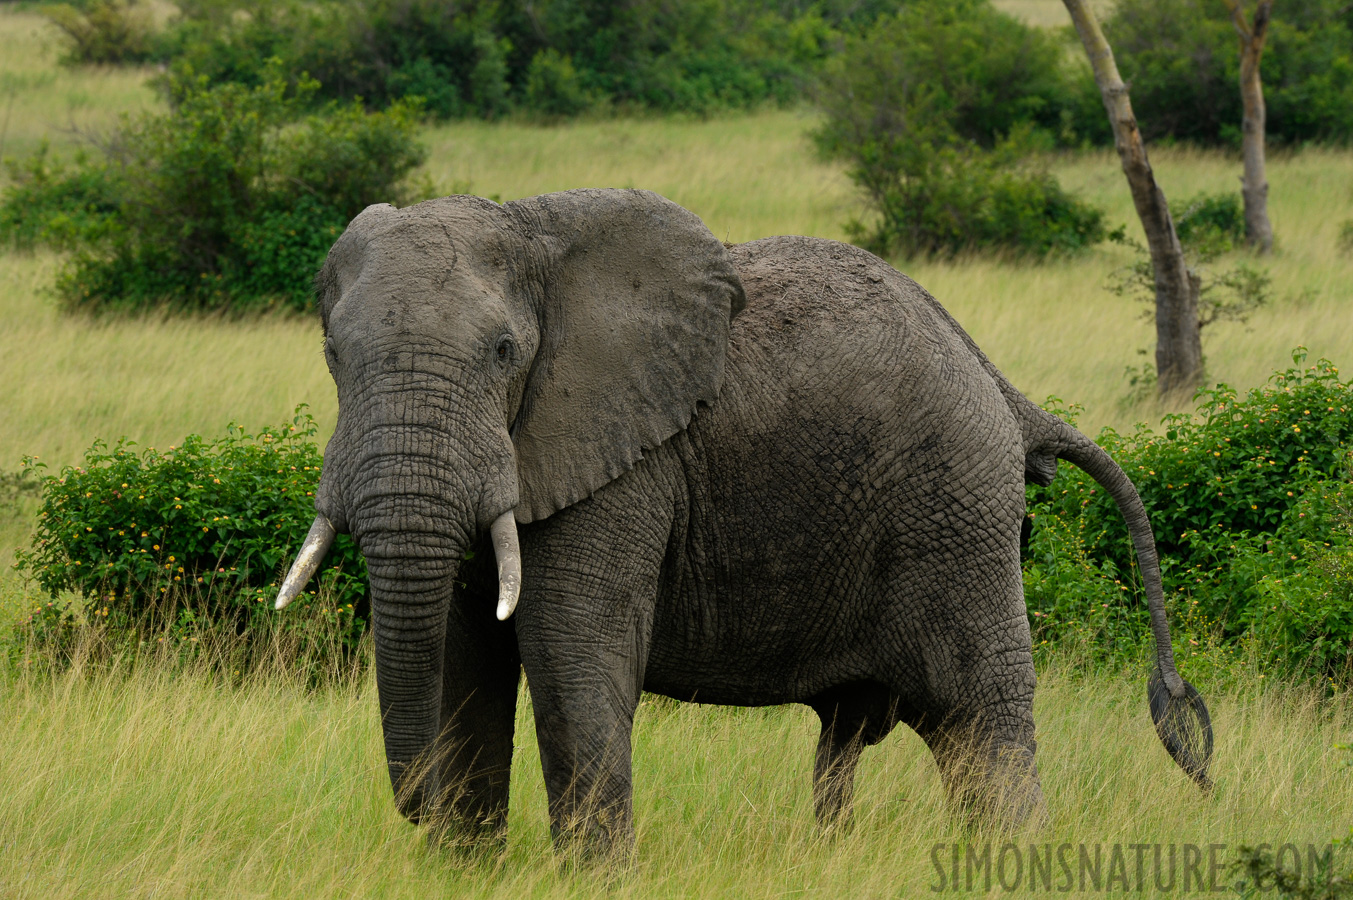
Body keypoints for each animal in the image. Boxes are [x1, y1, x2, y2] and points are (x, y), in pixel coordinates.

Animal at [274, 188, 1217, 855]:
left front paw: (590, 877)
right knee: (865, 734)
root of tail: (1007, 390)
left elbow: (570, 656)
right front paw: (466, 866)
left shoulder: (625, 462)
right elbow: (466, 662)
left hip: (955, 511)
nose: (412, 806)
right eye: (331, 354)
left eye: (505, 352)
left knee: (975, 715)